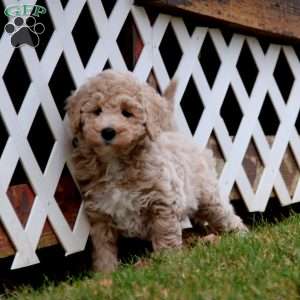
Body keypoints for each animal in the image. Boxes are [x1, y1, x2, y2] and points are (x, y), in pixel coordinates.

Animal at [65, 69, 246, 272]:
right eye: (97, 111)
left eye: (127, 113)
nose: (108, 131)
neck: (116, 162)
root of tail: (174, 133)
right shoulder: (100, 213)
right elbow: (104, 247)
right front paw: (106, 273)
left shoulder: (162, 203)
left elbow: (165, 235)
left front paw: (168, 263)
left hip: (208, 197)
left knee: (225, 215)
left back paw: (241, 235)